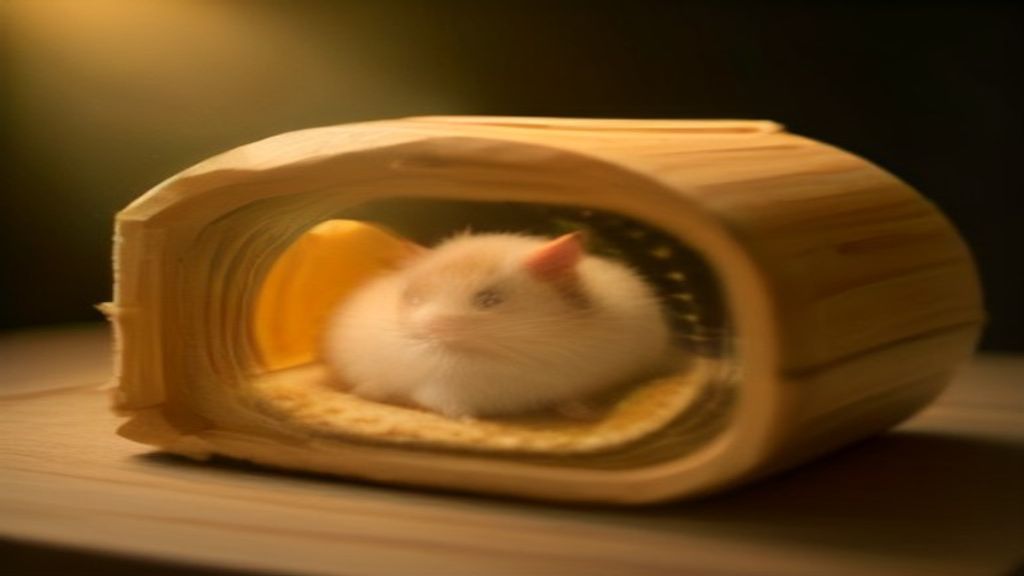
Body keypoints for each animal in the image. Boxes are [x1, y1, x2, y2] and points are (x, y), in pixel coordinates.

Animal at [321, 231, 673, 419]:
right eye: (413, 298)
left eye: (489, 300)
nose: (429, 328)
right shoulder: (439, 387)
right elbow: (444, 402)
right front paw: (469, 421)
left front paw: (582, 412)